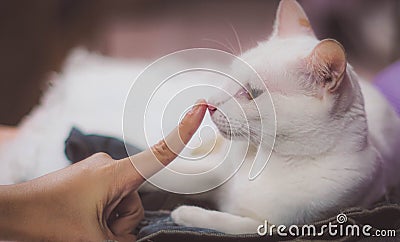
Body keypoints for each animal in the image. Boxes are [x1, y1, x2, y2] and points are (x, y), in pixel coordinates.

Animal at [170, 0, 400, 234]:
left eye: (252, 93)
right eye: (231, 74)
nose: (210, 103)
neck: (270, 160)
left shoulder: (272, 226)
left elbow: (226, 222)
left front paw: (183, 213)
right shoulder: (216, 170)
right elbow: (184, 174)